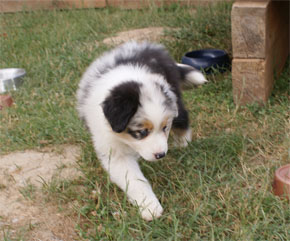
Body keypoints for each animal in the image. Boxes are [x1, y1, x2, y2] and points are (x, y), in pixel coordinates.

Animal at [77, 41, 207, 220]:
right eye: (142, 132)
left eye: (165, 128)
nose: (161, 155)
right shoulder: (112, 147)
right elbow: (134, 180)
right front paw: (150, 207)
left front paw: (150, 208)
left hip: (174, 93)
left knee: (182, 116)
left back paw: (183, 143)